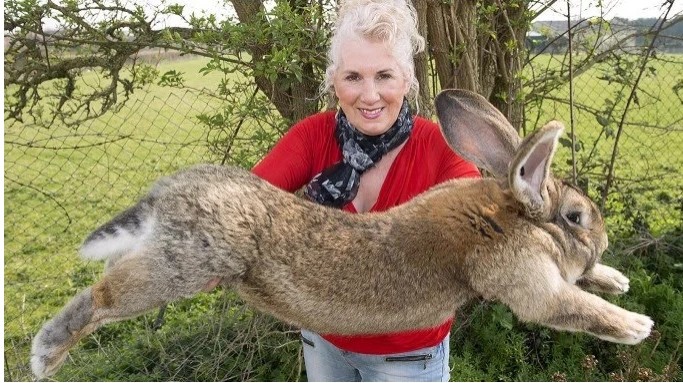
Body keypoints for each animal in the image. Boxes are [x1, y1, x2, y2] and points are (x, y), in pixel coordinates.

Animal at [30, 89, 652, 378]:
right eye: (576, 217)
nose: (602, 240)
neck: (510, 214)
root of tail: (168, 194)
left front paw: (616, 279)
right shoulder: (527, 282)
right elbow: (571, 307)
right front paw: (635, 325)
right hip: (184, 265)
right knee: (102, 296)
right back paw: (45, 355)